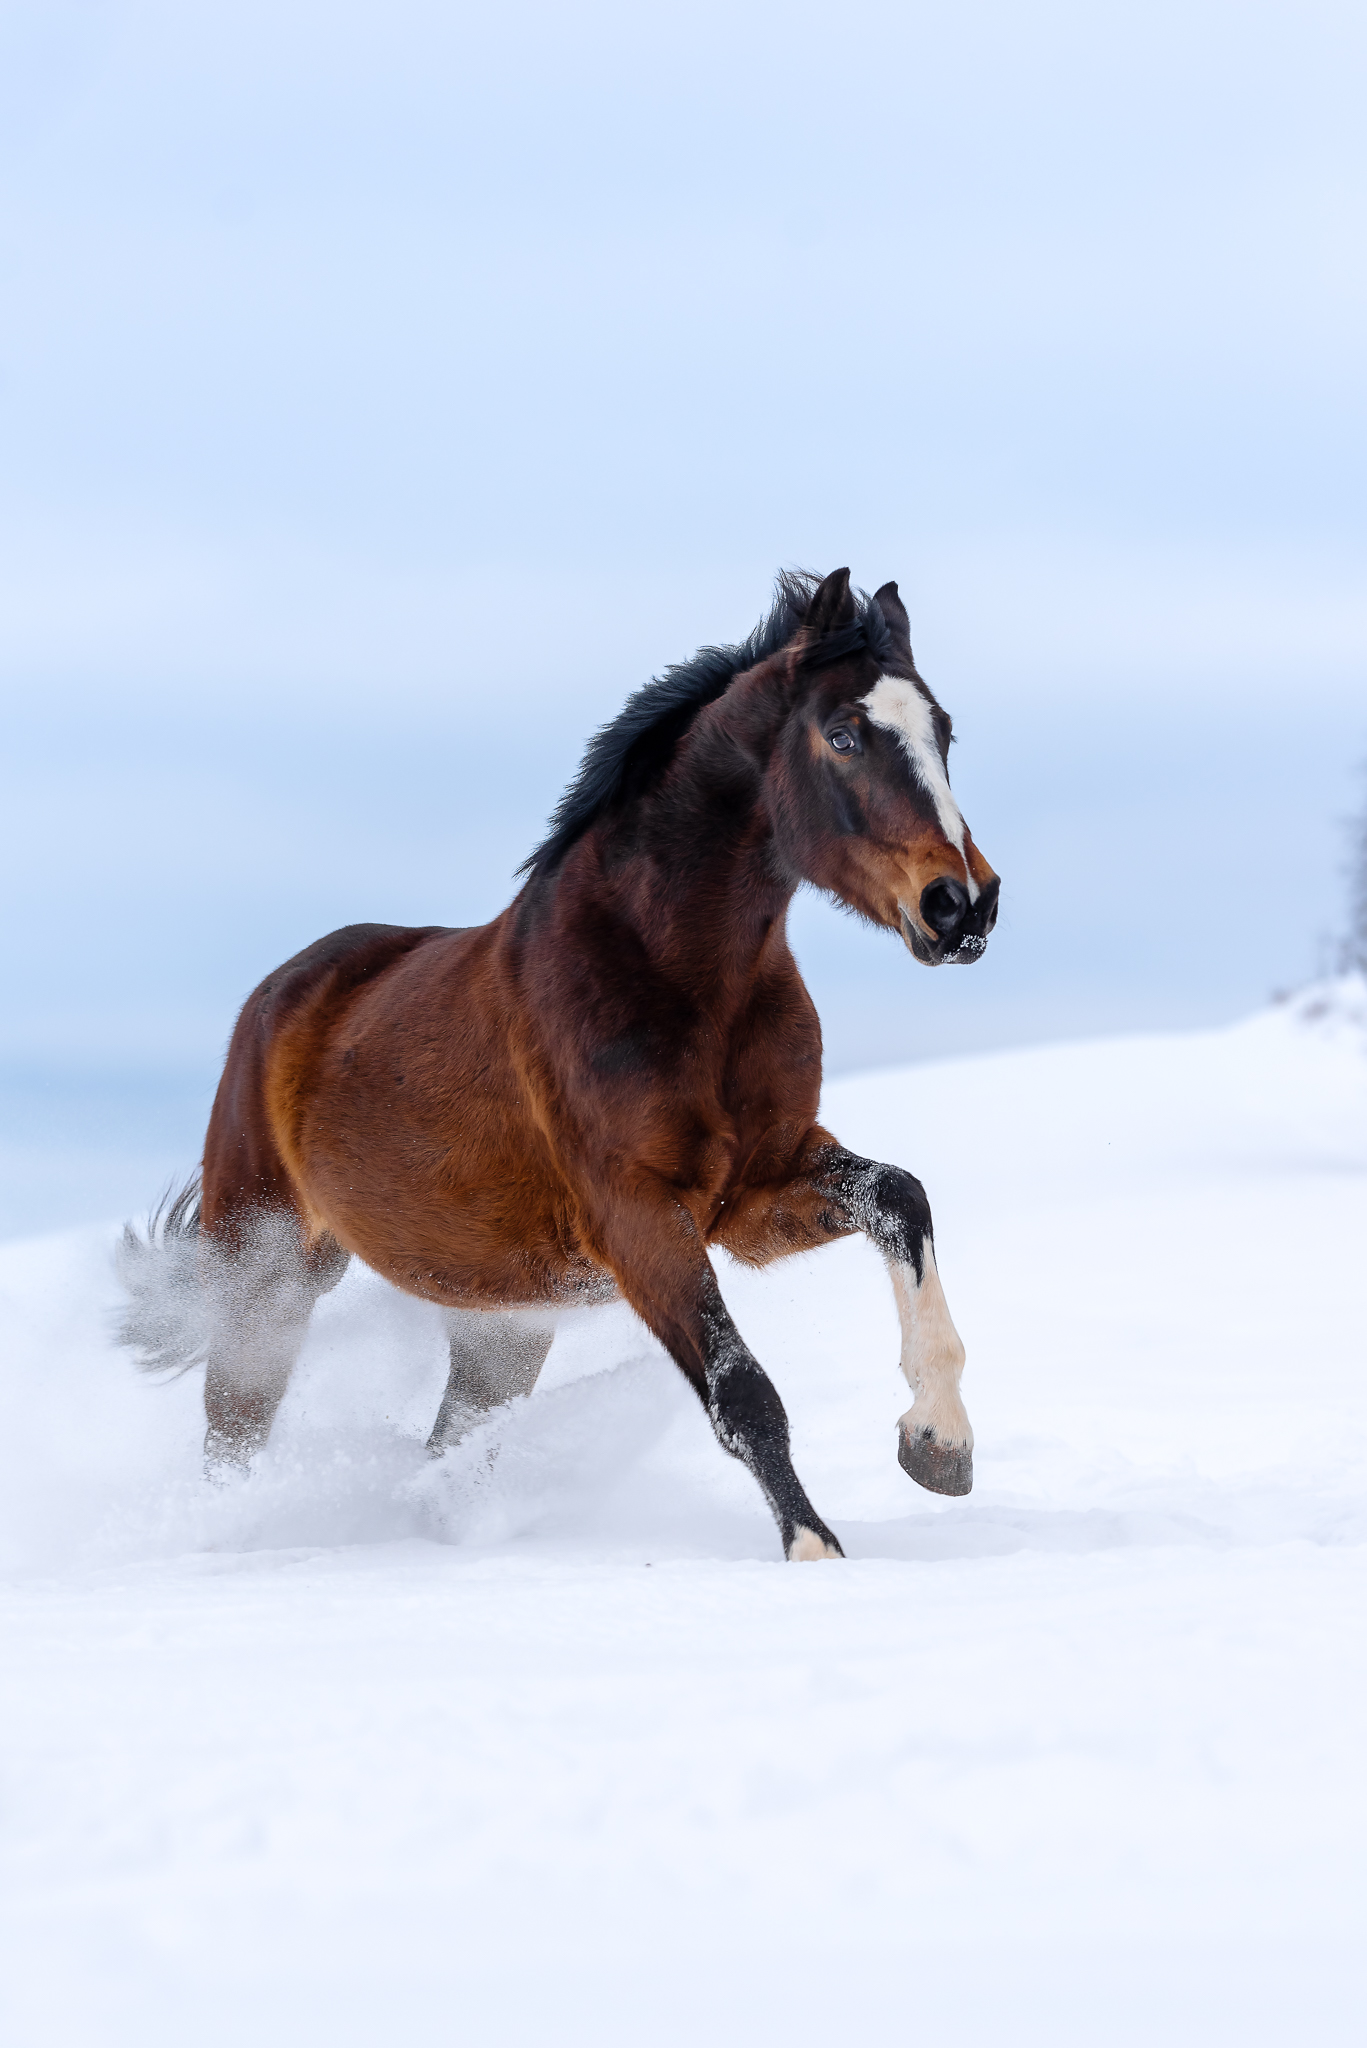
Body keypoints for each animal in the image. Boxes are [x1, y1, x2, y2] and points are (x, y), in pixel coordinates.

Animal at [122, 569, 1000, 1556]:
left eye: (943, 734)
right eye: (843, 735)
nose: (962, 905)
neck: (680, 981)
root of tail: (275, 1001)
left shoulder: (755, 1195)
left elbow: (899, 1195)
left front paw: (937, 1443)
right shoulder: (637, 1216)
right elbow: (741, 1394)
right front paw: (815, 1548)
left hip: (501, 1324)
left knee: (450, 1444)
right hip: (269, 1277)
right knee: (233, 1432)